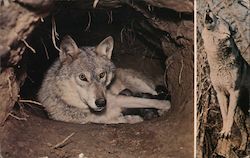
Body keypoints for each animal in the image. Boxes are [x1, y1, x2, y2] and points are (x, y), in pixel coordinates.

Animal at [38, 35, 171, 124]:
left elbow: (148, 101)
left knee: (154, 93)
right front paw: (132, 118)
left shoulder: (116, 98)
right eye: (82, 77)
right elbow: (118, 119)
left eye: (102, 75)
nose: (101, 102)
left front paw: (166, 105)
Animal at [202, 8, 249, 151]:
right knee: (246, 132)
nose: (207, 9)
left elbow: (229, 115)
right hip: (241, 116)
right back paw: (242, 149)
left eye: (218, 17)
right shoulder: (220, 93)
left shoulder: (234, 92)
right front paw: (223, 131)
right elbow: (224, 114)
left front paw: (227, 132)